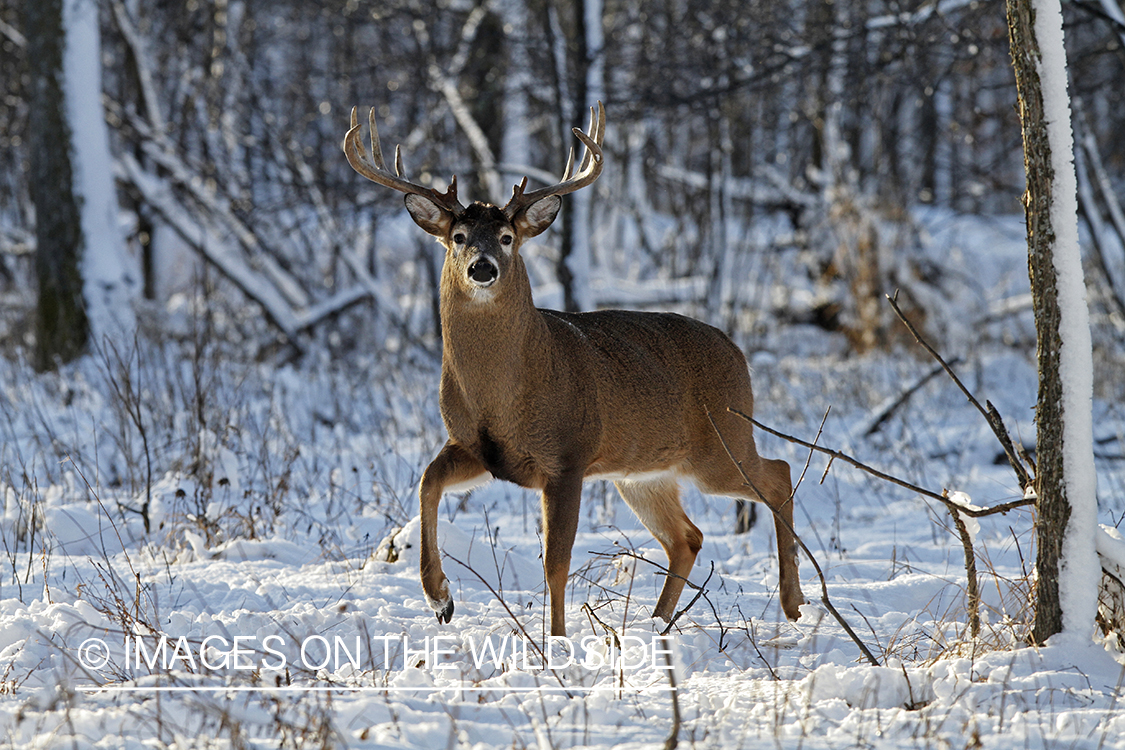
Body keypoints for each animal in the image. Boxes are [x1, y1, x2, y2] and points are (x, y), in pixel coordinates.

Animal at [344, 102, 810, 638]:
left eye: (507, 237)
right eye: (458, 237)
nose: (483, 267)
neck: (503, 395)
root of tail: (736, 350)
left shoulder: (568, 456)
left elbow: (556, 561)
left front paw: (557, 640)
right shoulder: (476, 447)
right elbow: (427, 481)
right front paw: (440, 598)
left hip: (721, 442)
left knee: (777, 474)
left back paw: (793, 603)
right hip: (642, 473)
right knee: (686, 537)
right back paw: (656, 623)